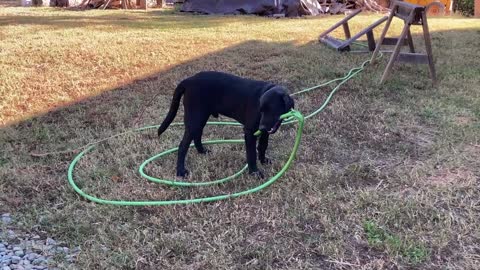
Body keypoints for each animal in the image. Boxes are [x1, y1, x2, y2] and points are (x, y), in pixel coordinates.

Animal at [158, 70, 292, 178]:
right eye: (262, 110)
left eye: (272, 109)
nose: (262, 127)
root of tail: (189, 80)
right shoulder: (249, 132)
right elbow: (251, 154)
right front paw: (254, 172)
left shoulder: (265, 132)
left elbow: (263, 146)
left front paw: (264, 161)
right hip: (195, 118)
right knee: (182, 146)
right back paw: (181, 171)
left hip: (201, 118)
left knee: (197, 136)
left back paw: (202, 151)